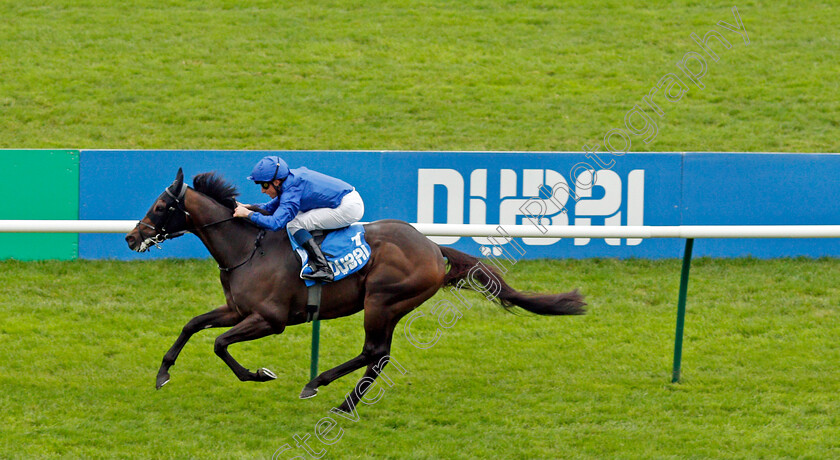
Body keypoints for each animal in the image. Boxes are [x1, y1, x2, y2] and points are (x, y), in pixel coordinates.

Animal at [126, 168, 584, 410]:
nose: (132, 237)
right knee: (377, 355)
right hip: (388, 305)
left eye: (161, 206)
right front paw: (163, 373)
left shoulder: (270, 319)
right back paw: (329, 390)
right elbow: (192, 325)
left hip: (383, 300)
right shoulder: (238, 310)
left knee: (375, 353)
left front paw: (258, 374)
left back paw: (327, 390)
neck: (247, 249)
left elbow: (219, 344)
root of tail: (432, 247)